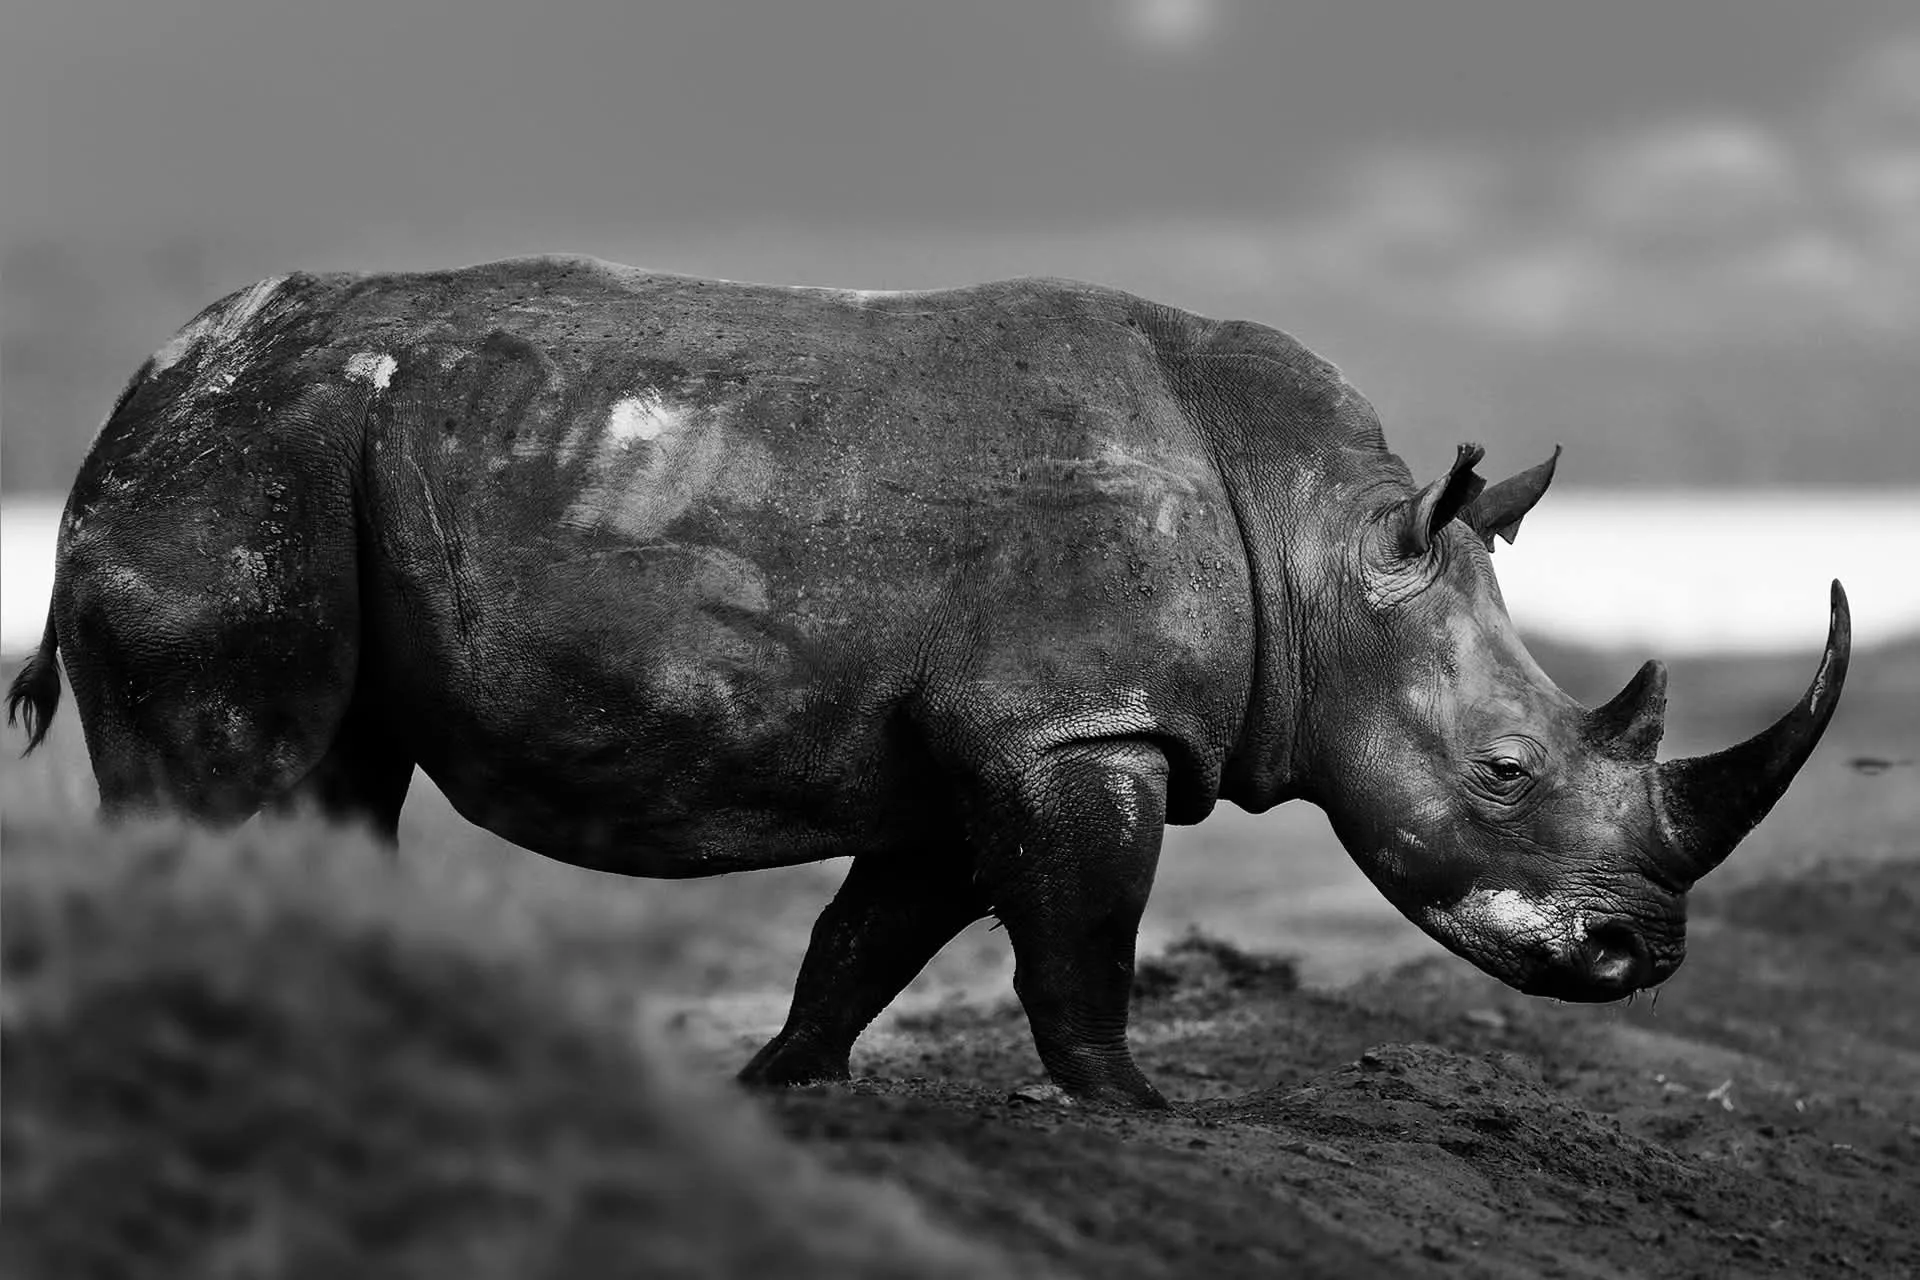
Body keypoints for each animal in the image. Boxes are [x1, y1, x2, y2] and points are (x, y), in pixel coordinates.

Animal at [8, 257, 1849, 1106]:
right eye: (1505, 776)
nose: (1640, 957)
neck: (1324, 546)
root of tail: (131, 397)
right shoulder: (1080, 725)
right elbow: (1081, 934)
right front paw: (1134, 1104)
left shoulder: (1001, 735)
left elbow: (876, 931)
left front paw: (785, 1085)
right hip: (242, 466)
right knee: (241, 763)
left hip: (301, 453)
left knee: (343, 771)